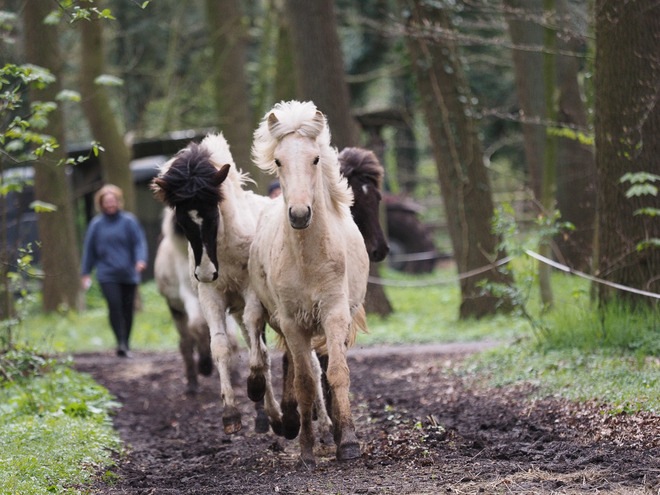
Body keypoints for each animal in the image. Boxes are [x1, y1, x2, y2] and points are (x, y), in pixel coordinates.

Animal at [249, 101, 368, 468]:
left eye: (316, 159)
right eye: (278, 161)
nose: (300, 214)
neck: (307, 259)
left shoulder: (334, 313)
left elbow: (337, 374)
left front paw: (348, 442)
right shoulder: (292, 322)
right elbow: (303, 381)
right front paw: (305, 449)